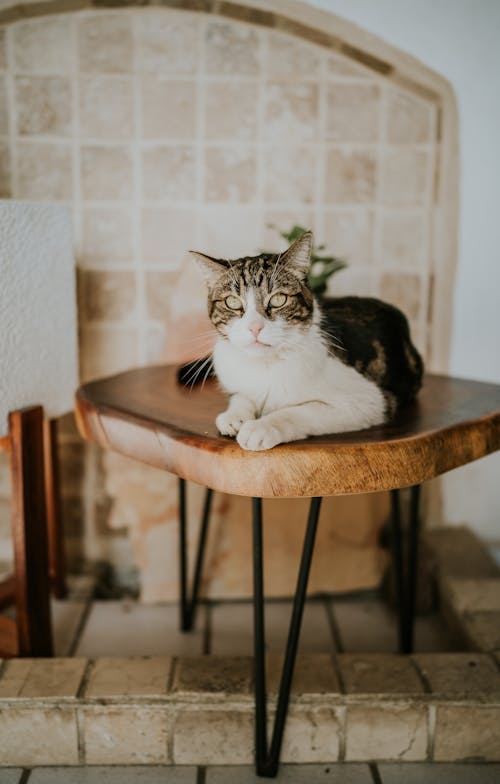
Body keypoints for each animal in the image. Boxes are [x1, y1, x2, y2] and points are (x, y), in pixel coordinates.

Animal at [182, 230, 424, 450]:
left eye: (278, 299)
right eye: (232, 302)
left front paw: (262, 427)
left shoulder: (371, 401)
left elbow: (302, 410)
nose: (254, 327)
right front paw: (234, 415)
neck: (265, 365)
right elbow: (242, 395)